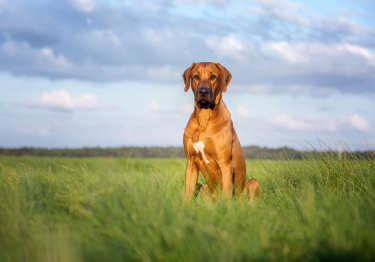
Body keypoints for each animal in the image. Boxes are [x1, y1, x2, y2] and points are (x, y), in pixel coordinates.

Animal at [183, 62, 262, 201]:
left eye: (213, 76)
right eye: (196, 76)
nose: (203, 92)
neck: (204, 117)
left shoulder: (225, 163)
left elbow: (227, 194)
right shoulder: (191, 163)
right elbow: (187, 194)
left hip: (252, 183)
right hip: (201, 186)